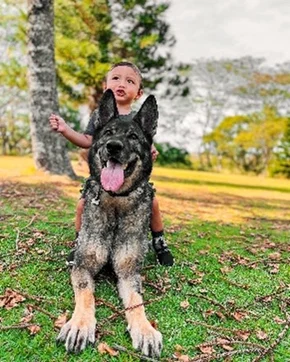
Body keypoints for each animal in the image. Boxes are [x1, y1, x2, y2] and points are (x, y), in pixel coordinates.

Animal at [55, 90, 162, 356]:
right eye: (108, 133)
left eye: (133, 136)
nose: (113, 146)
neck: (115, 203)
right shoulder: (83, 267)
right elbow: (86, 294)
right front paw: (80, 325)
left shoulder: (128, 273)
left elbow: (136, 302)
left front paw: (145, 329)